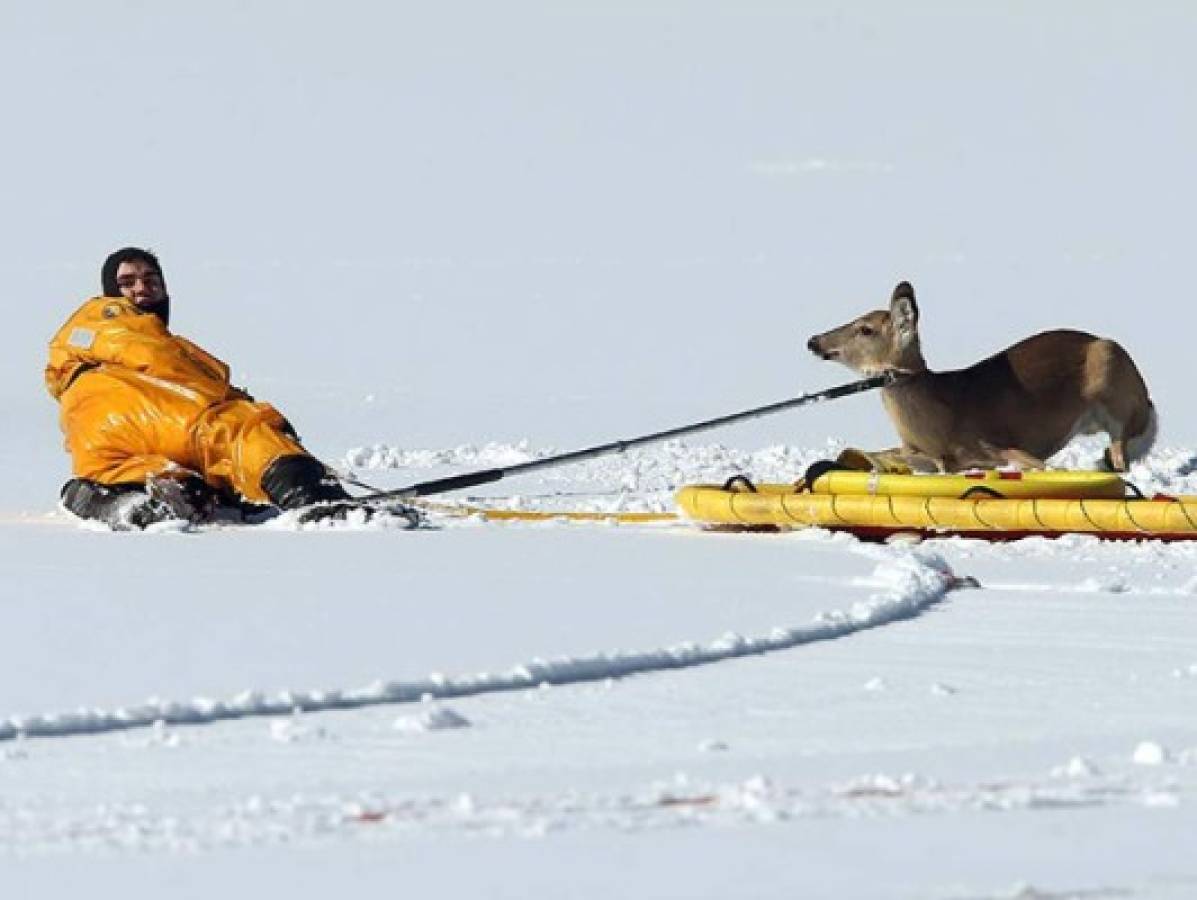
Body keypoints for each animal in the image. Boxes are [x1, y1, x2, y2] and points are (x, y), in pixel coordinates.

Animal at [809, 281, 1153, 473]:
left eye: (865, 329)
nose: (813, 341)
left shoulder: (992, 443)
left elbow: (1036, 465)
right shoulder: (919, 453)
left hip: (1112, 377)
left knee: (1122, 450)